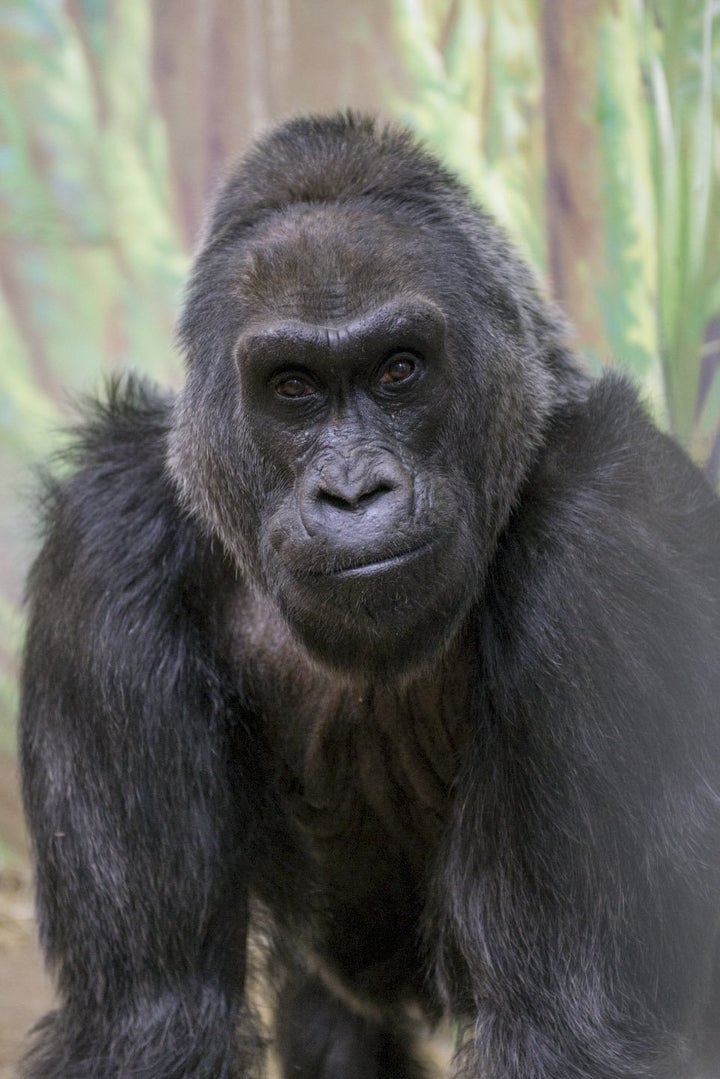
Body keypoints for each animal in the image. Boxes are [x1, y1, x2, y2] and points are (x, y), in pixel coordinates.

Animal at [19, 113, 720, 1074]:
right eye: (292, 386)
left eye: (398, 370)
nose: (354, 492)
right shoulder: (105, 541)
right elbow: (148, 1020)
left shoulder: (610, 529)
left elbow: (569, 1025)